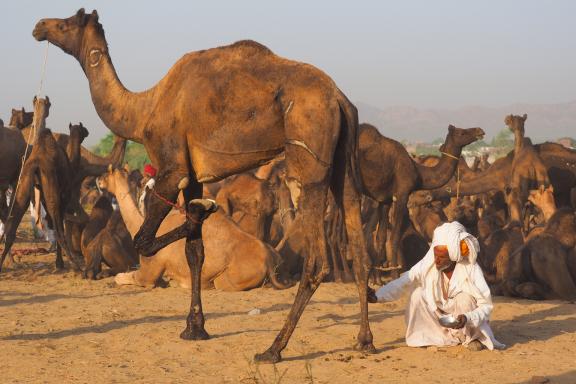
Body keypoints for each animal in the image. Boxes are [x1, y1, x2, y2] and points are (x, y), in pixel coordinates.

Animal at [97, 168, 292, 292]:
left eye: (106, 174)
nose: (98, 180)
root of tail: (270, 262)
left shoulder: (149, 272)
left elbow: (122, 277)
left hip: (226, 280)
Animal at [358, 121, 484, 274]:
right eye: (462, 133)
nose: (479, 130)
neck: (418, 173)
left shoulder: (384, 199)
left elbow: (381, 237)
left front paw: (378, 273)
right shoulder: (402, 194)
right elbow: (394, 237)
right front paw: (394, 272)